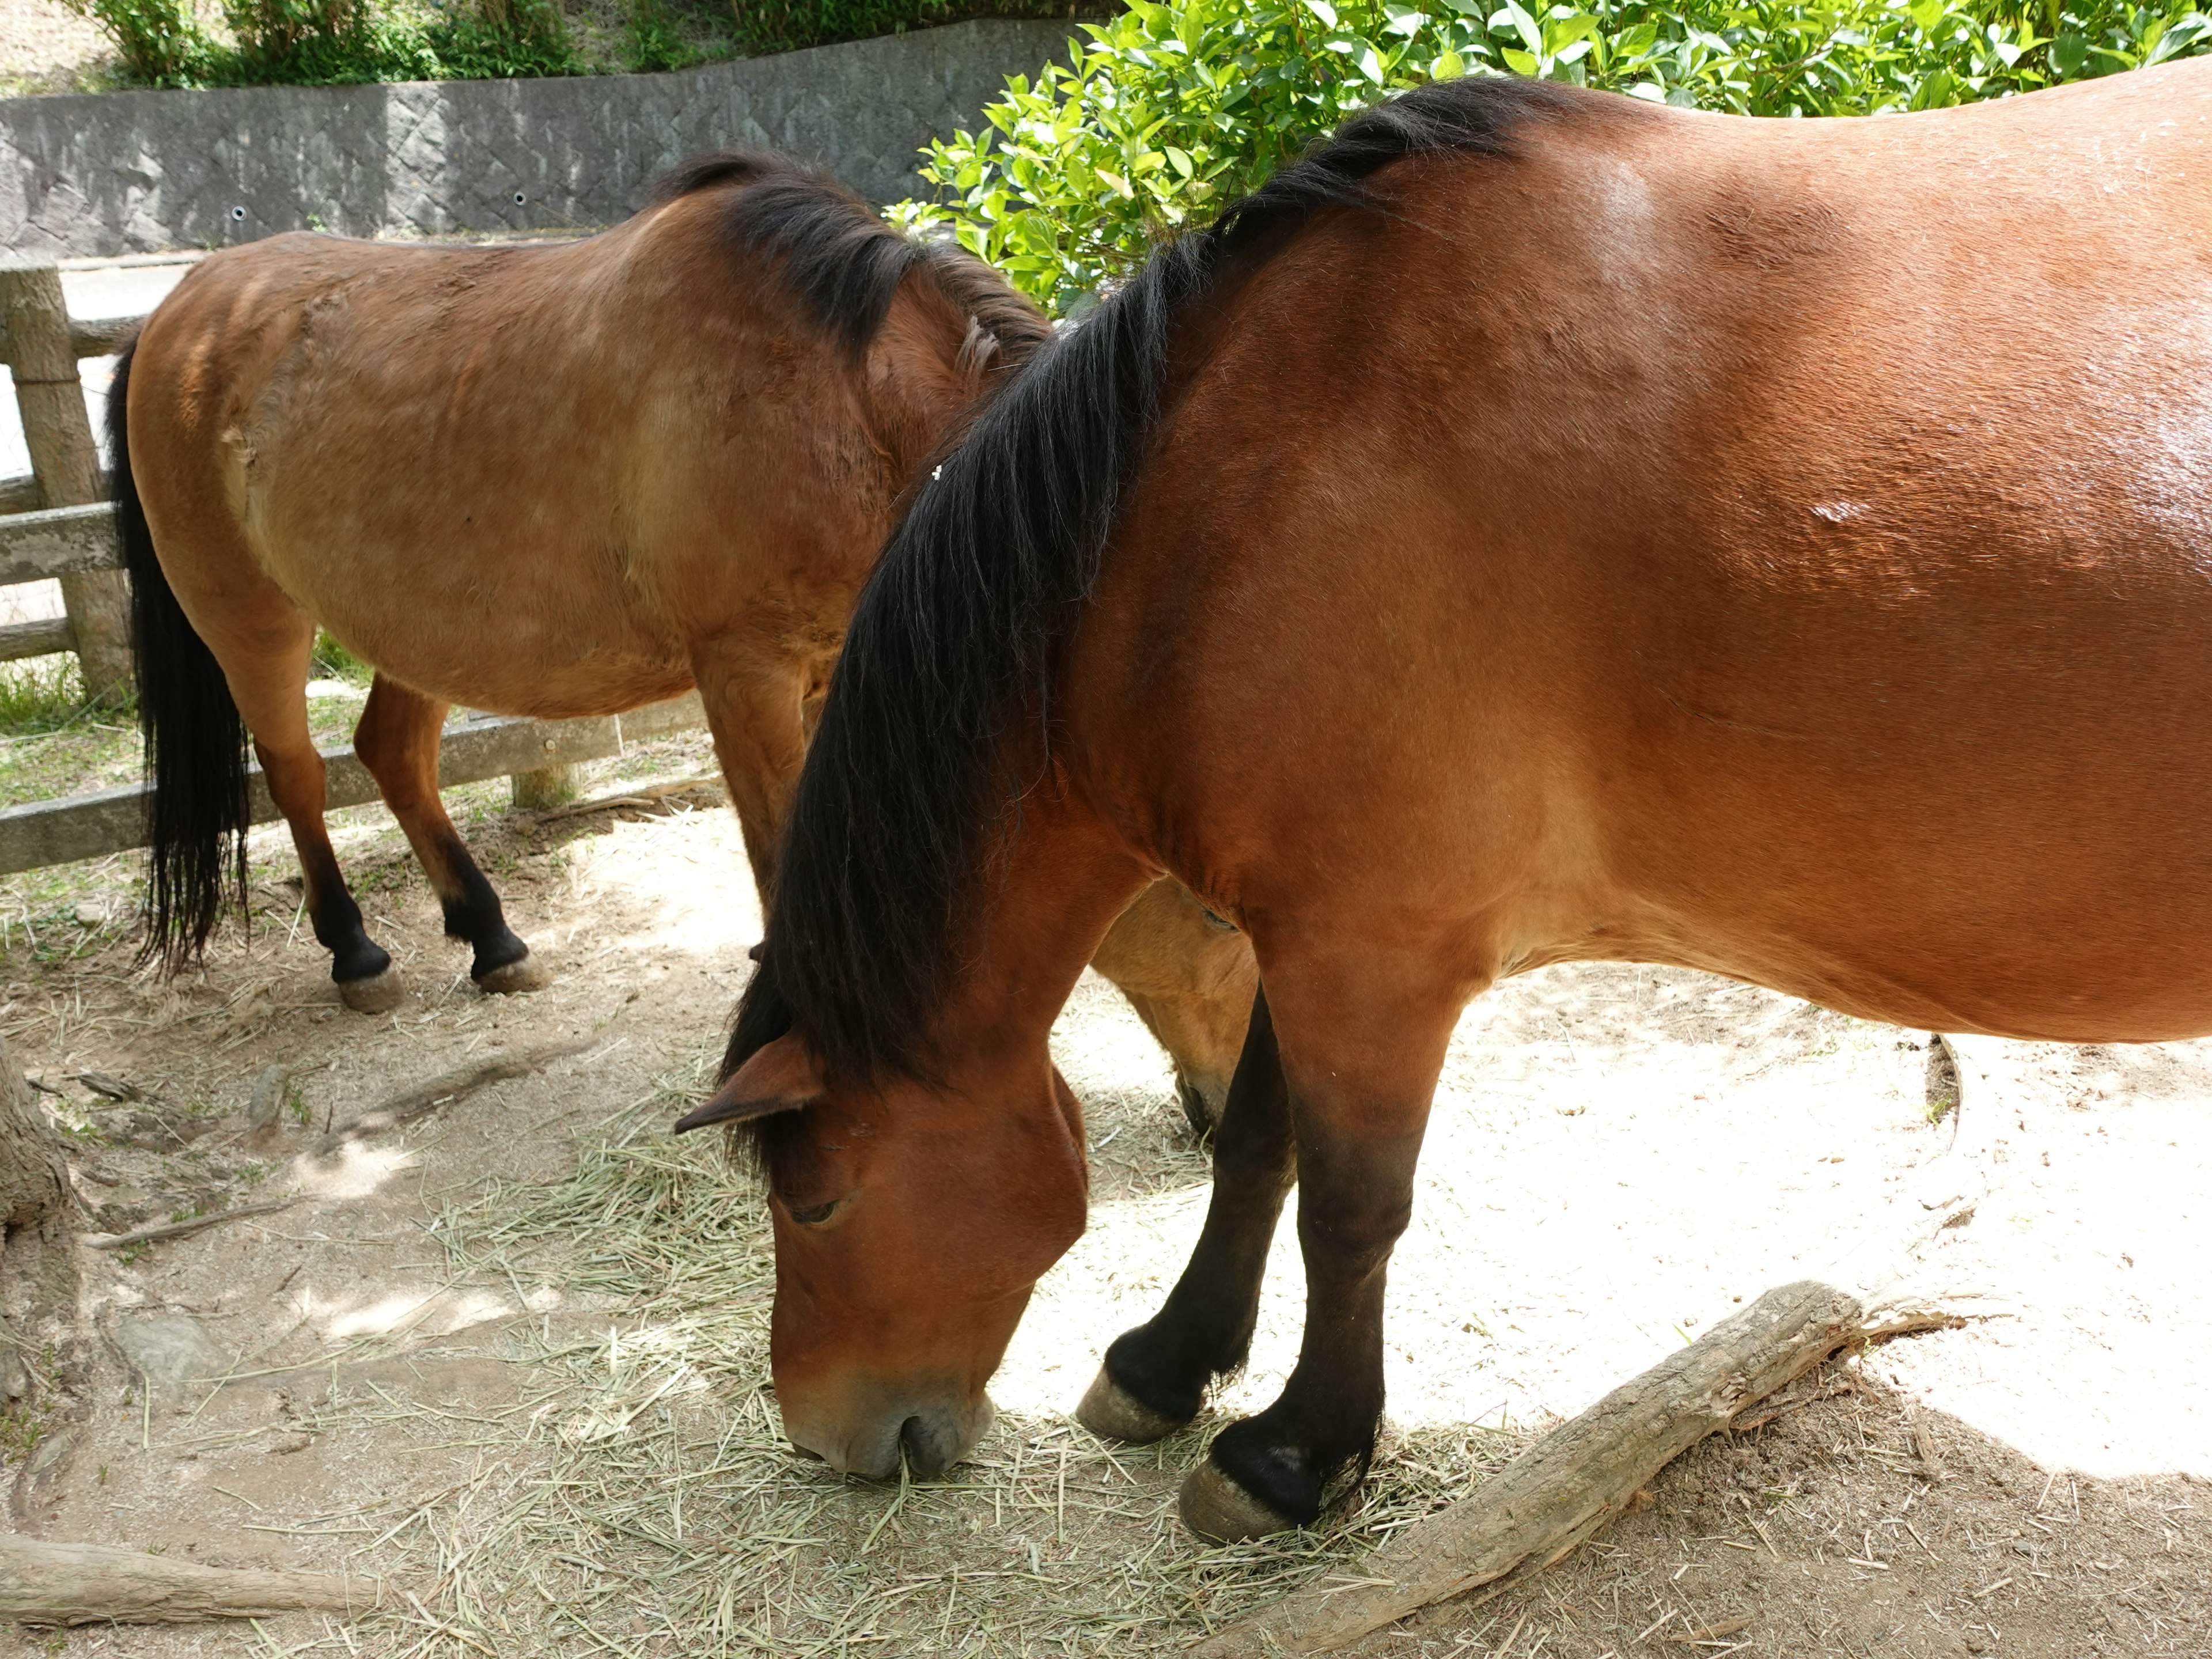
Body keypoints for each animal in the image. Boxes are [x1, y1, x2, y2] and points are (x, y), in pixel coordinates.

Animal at [108, 156, 1265, 1119]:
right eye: (1217, 920)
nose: (1235, 1118)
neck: (842, 398)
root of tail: (179, 311)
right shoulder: (746, 672)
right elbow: (778, 851)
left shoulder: (837, 670)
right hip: (252, 619)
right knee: (296, 772)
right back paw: (355, 951)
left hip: (414, 630)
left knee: (389, 753)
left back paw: (490, 938)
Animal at [672, 65, 2212, 1539]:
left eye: (815, 1196)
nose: (826, 1435)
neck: (1239, 485)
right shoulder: (1306, 926)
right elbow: (1259, 1148)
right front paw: (1171, 1361)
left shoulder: (1373, 954)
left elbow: (1350, 1209)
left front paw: (1295, 1453)